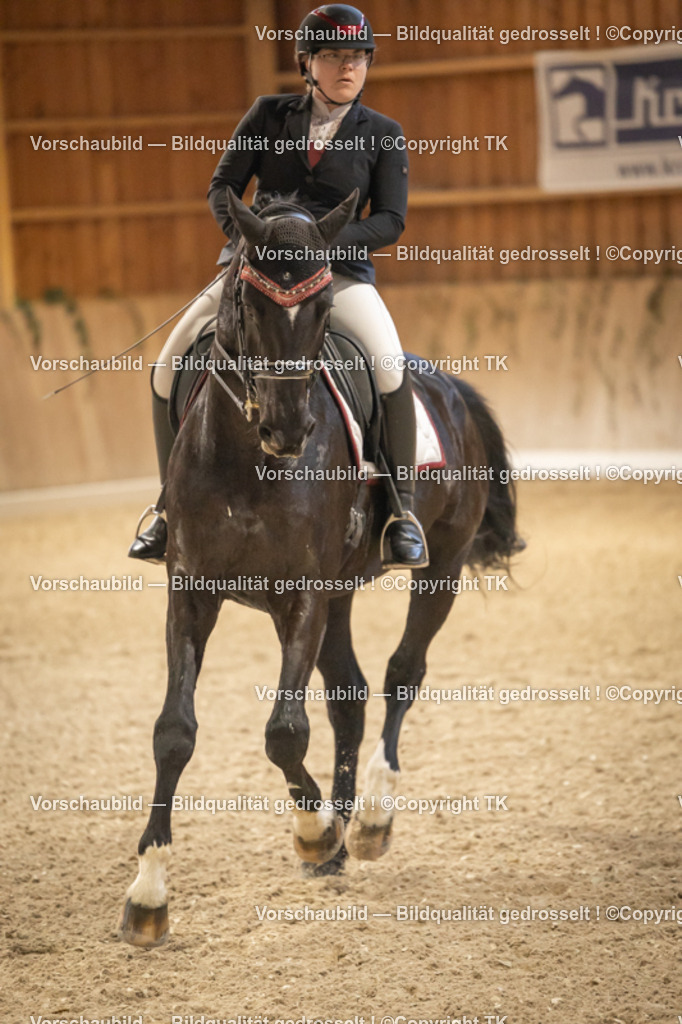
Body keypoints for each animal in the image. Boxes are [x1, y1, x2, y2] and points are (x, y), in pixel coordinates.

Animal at [119, 189, 523, 946]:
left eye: (323, 310)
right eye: (248, 302)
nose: (288, 430)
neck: (245, 459)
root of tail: (449, 386)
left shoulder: (300, 596)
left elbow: (284, 731)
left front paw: (314, 833)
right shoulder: (191, 591)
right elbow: (174, 731)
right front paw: (149, 892)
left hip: (443, 567)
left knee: (401, 676)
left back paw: (366, 823)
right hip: (342, 594)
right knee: (351, 696)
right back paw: (343, 834)